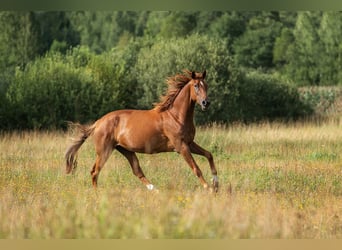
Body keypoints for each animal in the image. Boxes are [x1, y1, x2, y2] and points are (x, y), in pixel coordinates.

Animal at [64, 70, 219, 191]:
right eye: (195, 86)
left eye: (206, 85)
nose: (206, 103)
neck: (176, 116)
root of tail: (97, 123)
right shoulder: (181, 146)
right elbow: (196, 168)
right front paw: (209, 188)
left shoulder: (189, 143)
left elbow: (209, 155)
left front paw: (216, 184)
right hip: (104, 151)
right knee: (95, 172)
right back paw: (98, 194)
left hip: (126, 150)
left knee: (137, 171)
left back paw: (156, 191)